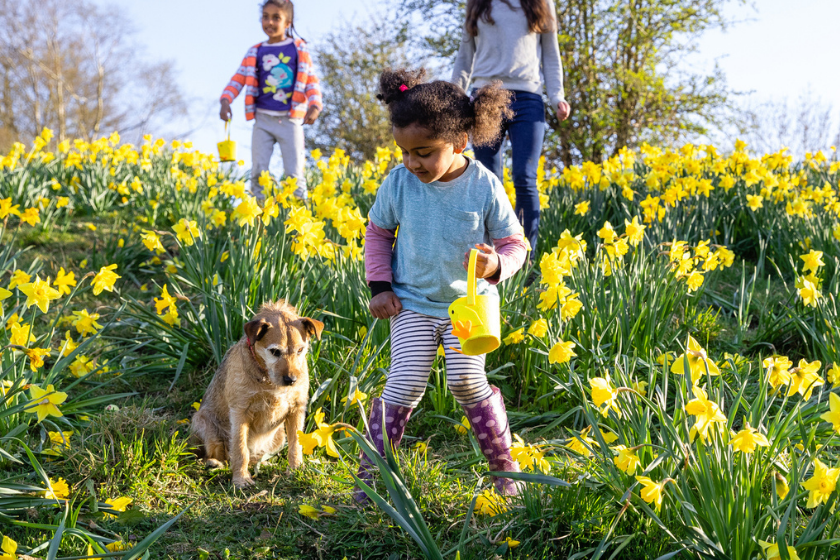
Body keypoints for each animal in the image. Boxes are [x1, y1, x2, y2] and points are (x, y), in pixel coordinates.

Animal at [192, 300, 324, 488]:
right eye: (275, 351)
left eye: (300, 350)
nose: (291, 380)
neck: (267, 378)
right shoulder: (240, 412)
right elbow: (240, 449)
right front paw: (240, 479)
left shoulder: (296, 409)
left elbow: (295, 445)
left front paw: (296, 469)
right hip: (205, 425)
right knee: (220, 455)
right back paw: (214, 463)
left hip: (279, 437)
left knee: (255, 456)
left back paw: (263, 463)